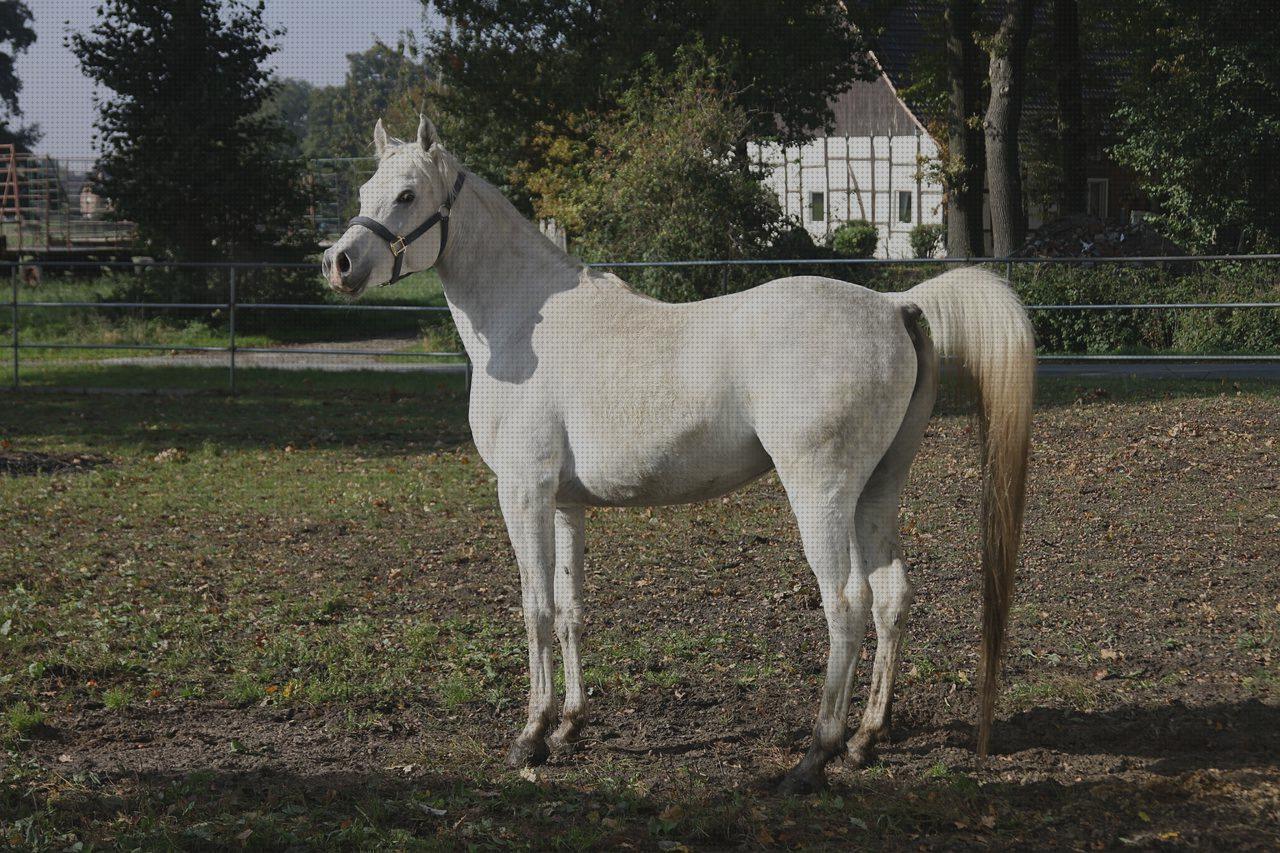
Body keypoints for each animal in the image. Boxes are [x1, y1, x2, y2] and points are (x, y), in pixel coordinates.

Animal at [325, 114, 1034, 788]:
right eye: (364, 192)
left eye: (407, 194)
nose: (339, 264)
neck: (521, 324)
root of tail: (894, 305)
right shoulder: (564, 504)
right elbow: (570, 610)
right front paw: (569, 727)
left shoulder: (522, 494)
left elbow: (535, 608)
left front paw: (531, 735)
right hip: (876, 492)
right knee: (890, 597)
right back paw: (865, 739)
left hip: (821, 496)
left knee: (847, 604)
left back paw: (817, 753)